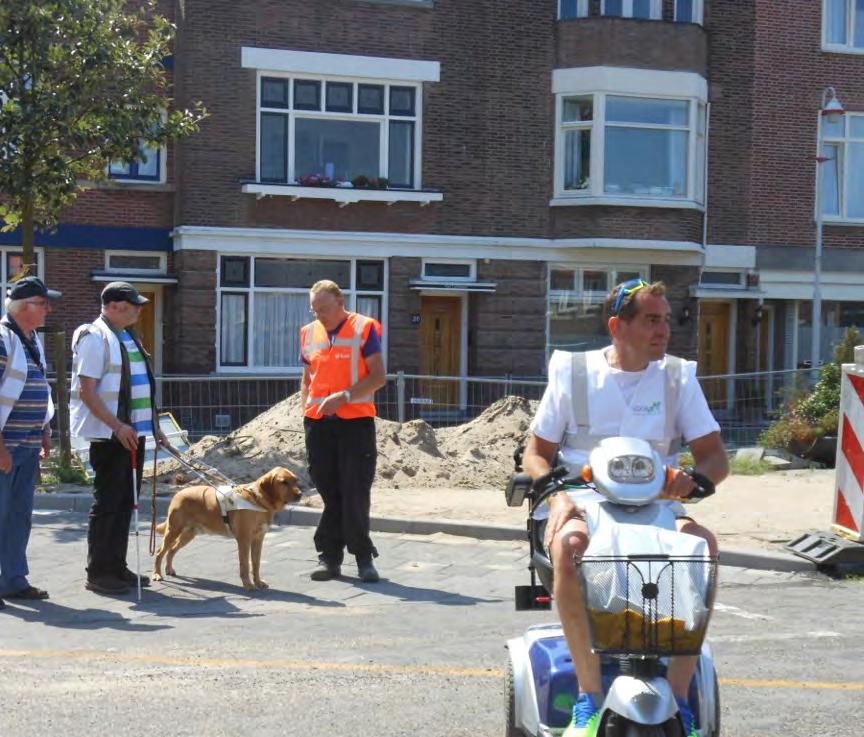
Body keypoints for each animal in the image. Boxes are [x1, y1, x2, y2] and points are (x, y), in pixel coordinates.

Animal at [152, 468, 304, 588]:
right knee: (160, 552)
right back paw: (157, 574)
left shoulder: (258, 540)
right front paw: (248, 584)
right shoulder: (244, 540)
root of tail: (177, 494)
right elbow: (245, 565)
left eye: (295, 480)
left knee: (171, 550)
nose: (300, 494)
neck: (257, 500)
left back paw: (169, 569)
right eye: (284, 482)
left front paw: (258, 582)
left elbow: (256, 564)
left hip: (188, 534)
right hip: (173, 531)